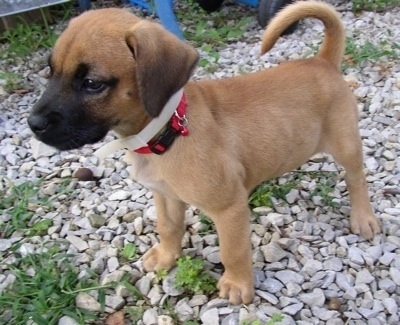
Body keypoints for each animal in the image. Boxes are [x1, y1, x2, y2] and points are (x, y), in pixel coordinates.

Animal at [28, 0, 382, 304]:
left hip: (346, 144)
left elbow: (233, 251)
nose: (33, 124)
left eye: (92, 83)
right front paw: (166, 256)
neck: (167, 130)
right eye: (50, 71)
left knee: (356, 179)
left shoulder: (229, 208)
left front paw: (238, 284)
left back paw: (363, 217)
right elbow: (169, 228)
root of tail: (321, 61)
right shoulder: (165, 197)